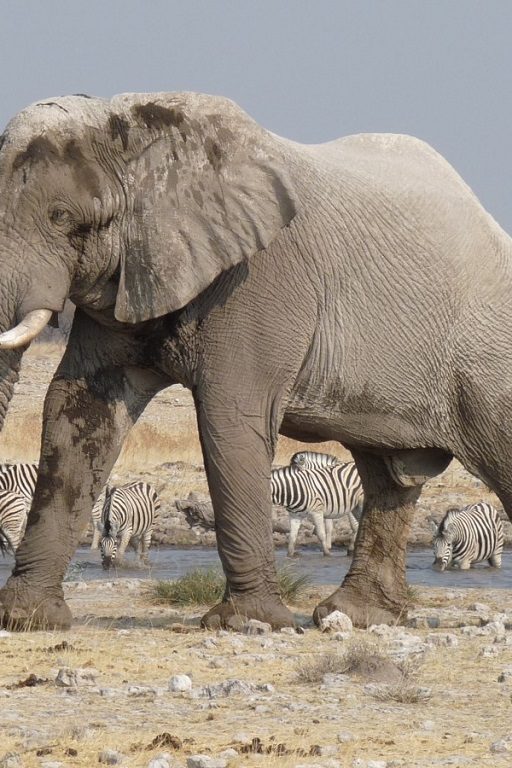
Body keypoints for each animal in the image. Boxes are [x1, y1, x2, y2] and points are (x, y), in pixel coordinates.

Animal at [1, 91, 512, 632]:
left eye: (61, 216)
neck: (135, 126)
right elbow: (79, 408)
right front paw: (28, 618)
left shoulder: (260, 278)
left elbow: (231, 415)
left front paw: (249, 621)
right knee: (387, 477)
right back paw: (354, 615)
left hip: (484, 352)